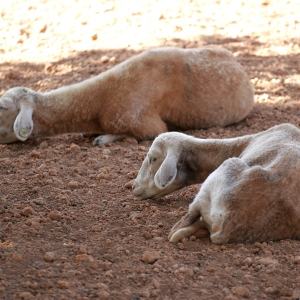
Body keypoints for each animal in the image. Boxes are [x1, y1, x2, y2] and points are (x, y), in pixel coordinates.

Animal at [132, 123, 300, 244]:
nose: (134, 187)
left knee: (190, 215)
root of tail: (226, 225)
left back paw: (175, 231)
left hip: (220, 176)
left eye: (152, 158)